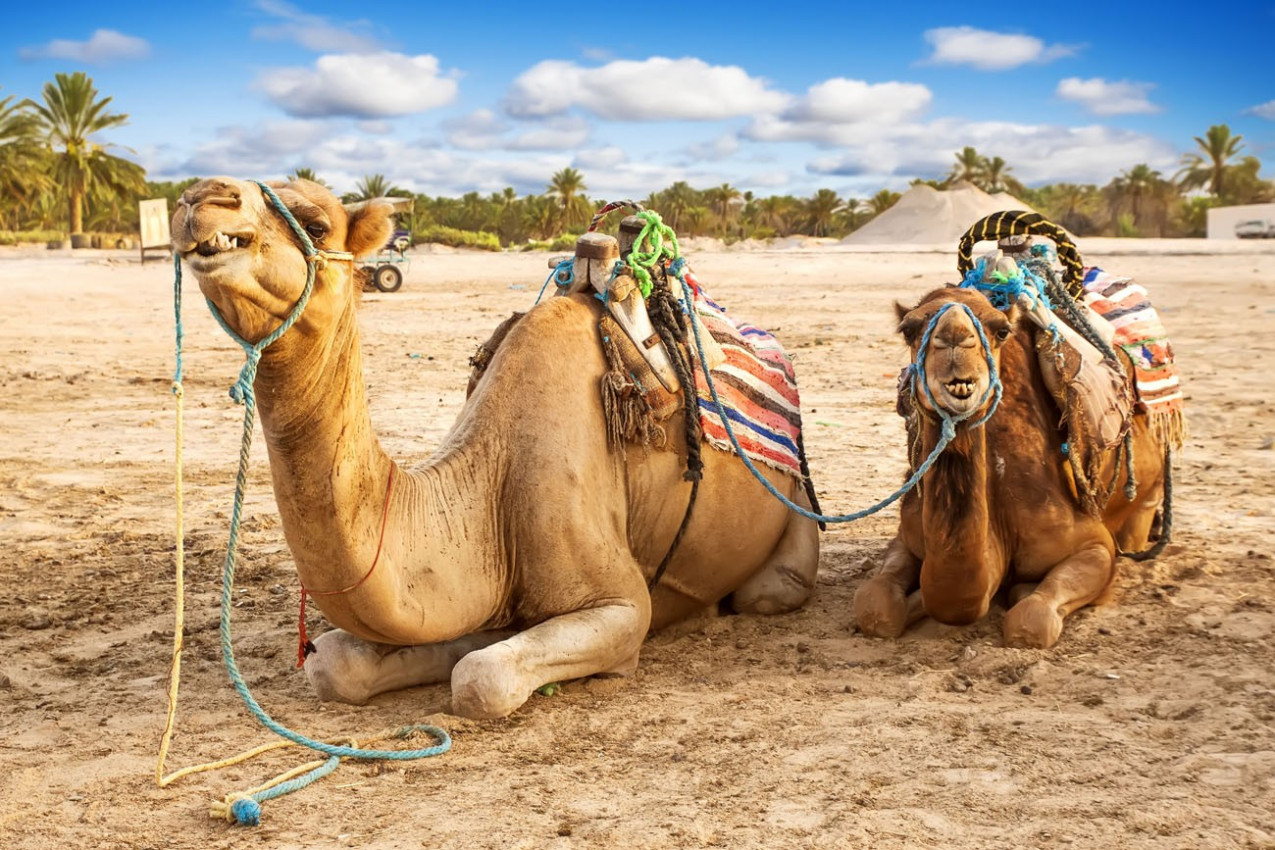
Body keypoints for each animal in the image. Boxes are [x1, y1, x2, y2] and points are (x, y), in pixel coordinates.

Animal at [172, 178, 816, 718]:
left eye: (316, 222)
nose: (201, 197)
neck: (487, 477)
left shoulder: (623, 606)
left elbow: (481, 679)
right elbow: (336, 664)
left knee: (771, 588)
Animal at [851, 284, 1167, 644]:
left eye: (1001, 330)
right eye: (908, 329)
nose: (955, 337)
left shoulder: (1095, 545)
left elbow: (1030, 622)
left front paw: (1020, 592)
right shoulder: (907, 537)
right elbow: (875, 607)